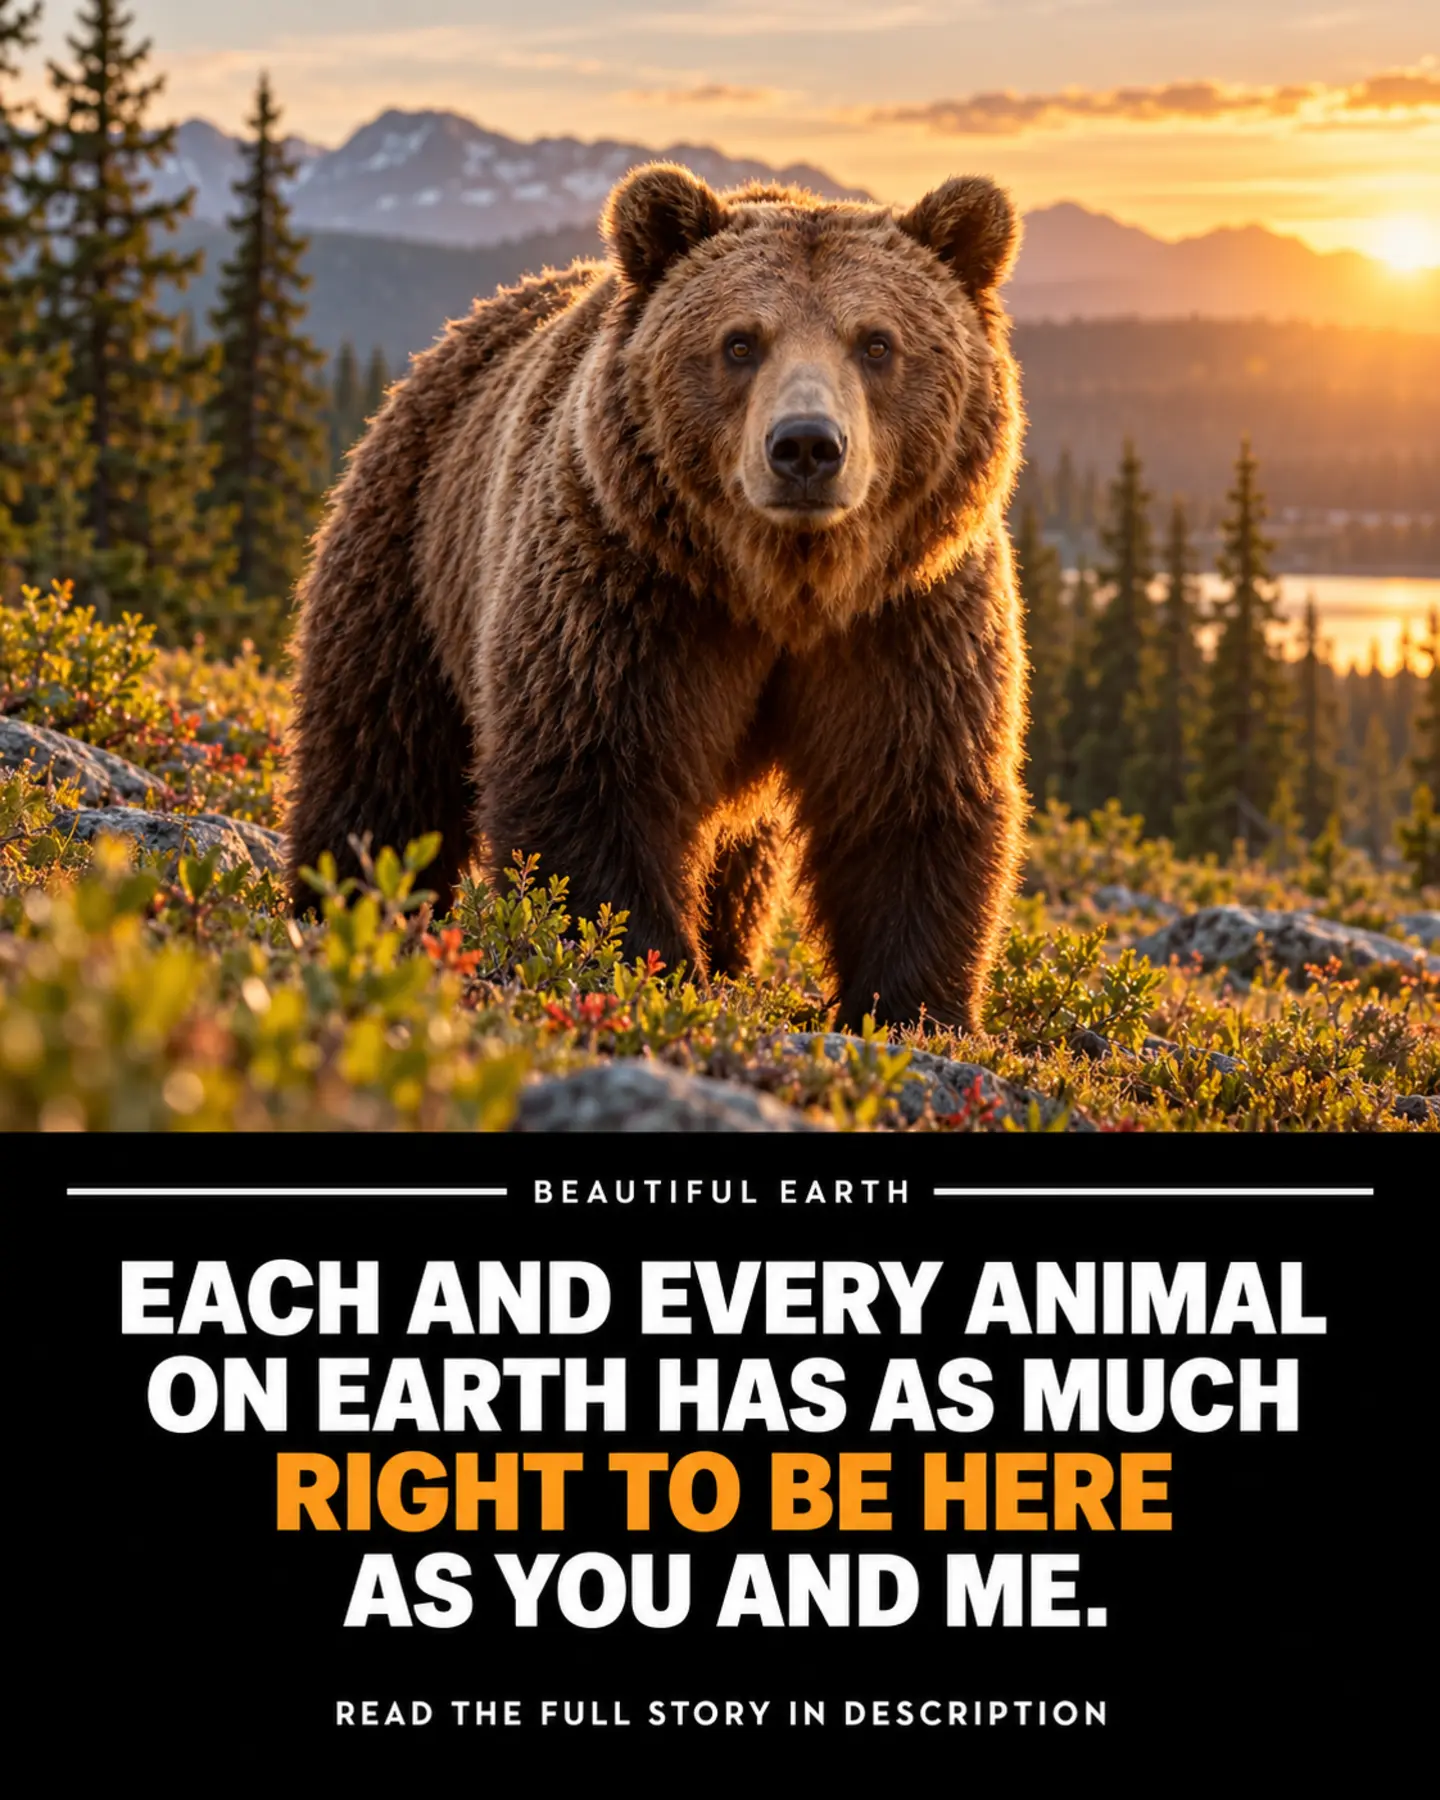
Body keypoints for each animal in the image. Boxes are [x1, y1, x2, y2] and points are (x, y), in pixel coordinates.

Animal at [285, 164, 1028, 1032]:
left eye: (877, 342)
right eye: (740, 342)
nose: (807, 445)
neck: (781, 590)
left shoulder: (907, 618)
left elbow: (908, 796)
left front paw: (912, 1006)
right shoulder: (631, 591)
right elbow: (597, 772)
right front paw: (640, 962)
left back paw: (730, 949)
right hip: (412, 555)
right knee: (384, 759)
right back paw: (341, 897)